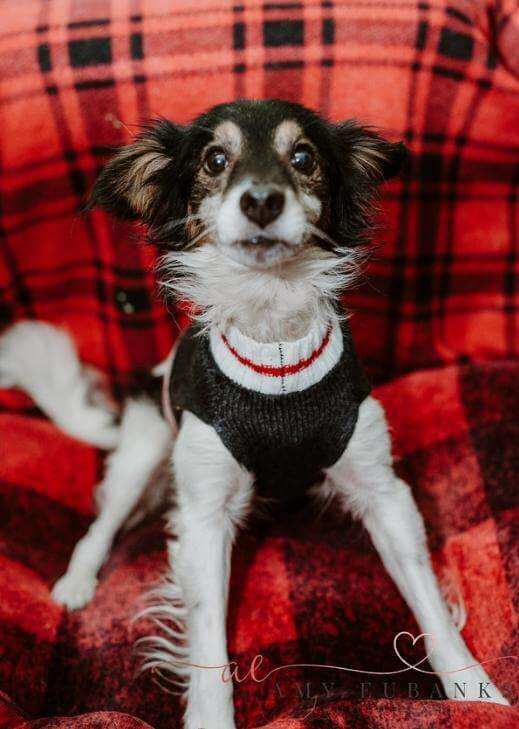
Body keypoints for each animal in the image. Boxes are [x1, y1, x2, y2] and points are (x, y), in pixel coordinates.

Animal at [0, 99, 510, 724]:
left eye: (304, 158)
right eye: (216, 160)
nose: (262, 201)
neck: (278, 354)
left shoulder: (382, 491)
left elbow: (431, 607)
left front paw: (476, 690)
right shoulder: (203, 516)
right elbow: (208, 643)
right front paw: (211, 718)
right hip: (145, 448)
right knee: (102, 522)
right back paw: (76, 581)